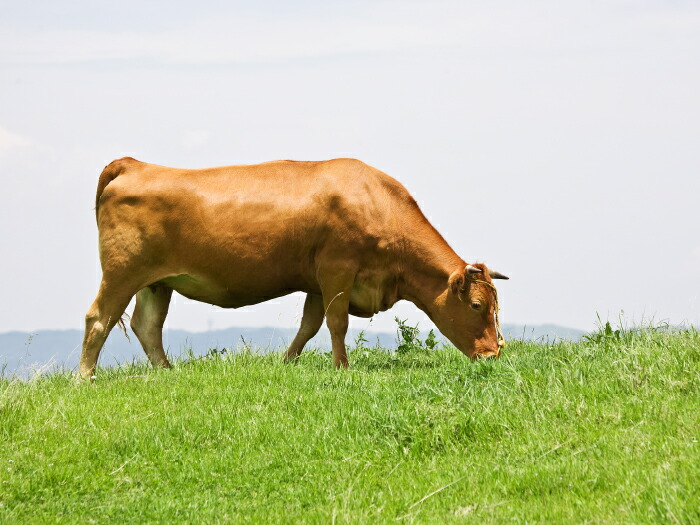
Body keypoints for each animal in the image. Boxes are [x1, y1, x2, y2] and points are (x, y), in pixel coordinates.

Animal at [78, 157, 508, 376]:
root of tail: (134, 164)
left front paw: (287, 363)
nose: (492, 355)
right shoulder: (337, 268)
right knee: (99, 318)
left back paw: (168, 373)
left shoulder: (317, 282)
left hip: (158, 282)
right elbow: (337, 323)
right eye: (476, 305)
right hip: (122, 271)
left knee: (147, 325)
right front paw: (342, 368)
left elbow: (310, 325)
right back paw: (87, 378)